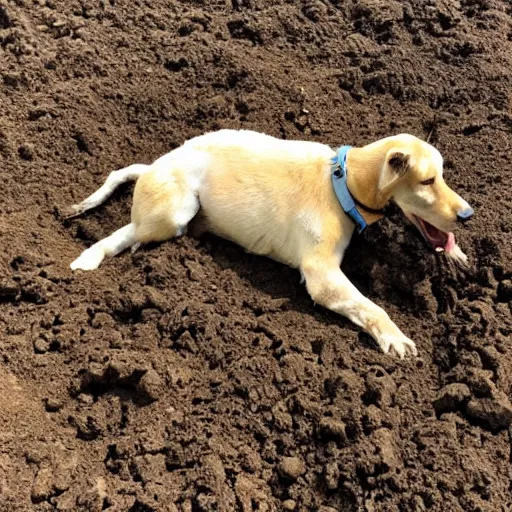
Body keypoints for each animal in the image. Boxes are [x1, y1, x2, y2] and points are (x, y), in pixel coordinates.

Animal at [66, 130, 474, 358]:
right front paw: (395, 337)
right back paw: (89, 258)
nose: (468, 214)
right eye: (427, 180)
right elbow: (372, 308)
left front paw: (457, 253)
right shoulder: (321, 275)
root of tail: (152, 166)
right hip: (176, 211)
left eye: (442, 176)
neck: (343, 181)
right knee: (123, 232)